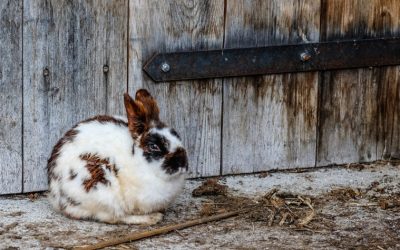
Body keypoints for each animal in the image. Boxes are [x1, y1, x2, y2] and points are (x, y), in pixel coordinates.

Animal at [47, 89, 189, 225]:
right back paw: (151, 218)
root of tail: (56, 197)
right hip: (102, 189)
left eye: (177, 135)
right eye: (154, 146)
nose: (183, 164)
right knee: (114, 217)